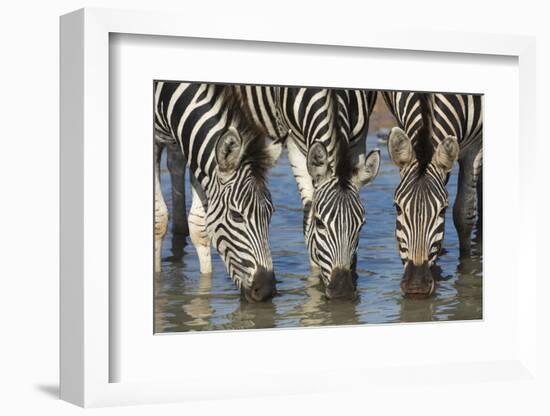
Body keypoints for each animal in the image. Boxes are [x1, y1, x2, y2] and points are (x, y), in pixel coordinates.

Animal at [155, 82, 284, 302]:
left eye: (270, 213)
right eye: (236, 215)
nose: (266, 291)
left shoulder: (192, 147)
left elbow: (199, 226)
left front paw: (205, 288)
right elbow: (159, 219)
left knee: (175, 162)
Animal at [384, 92, 484, 298]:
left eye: (443, 210)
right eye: (397, 208)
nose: (416, 286)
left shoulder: (476, 145)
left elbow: (464, 215)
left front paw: (466, 273)